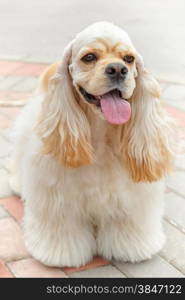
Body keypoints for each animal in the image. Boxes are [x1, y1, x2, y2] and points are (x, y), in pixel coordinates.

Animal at [9, 21, 173, 268]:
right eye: (89, 57)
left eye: (129, 59)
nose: (118, 70)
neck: (101, 133)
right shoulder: (58, 197)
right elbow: (64, 230)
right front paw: (60, 254)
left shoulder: (130, 197)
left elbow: (127, 224)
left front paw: (132, 247)